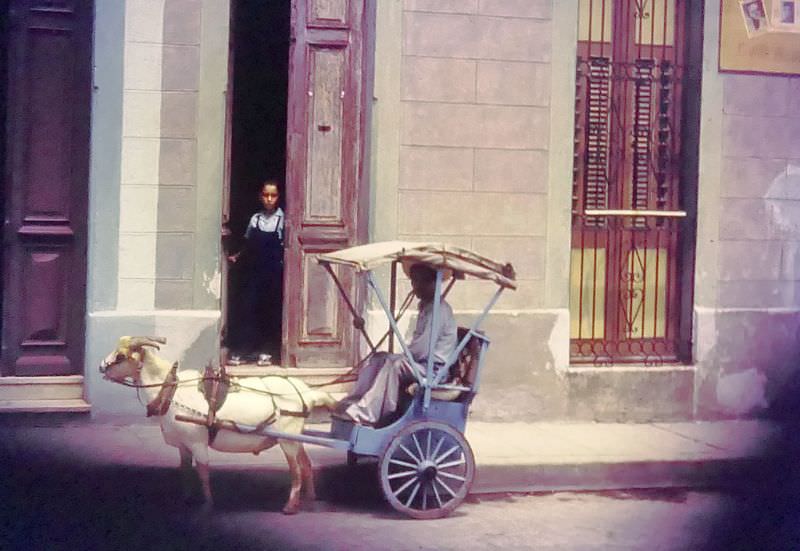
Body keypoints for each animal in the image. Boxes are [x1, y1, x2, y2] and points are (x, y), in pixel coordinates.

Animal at [101, 336, 338, 516]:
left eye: (121, 356)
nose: (101, 367)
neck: (172, 390)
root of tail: (307, 393)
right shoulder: (184, 446)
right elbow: (185, 470)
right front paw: (186, 499)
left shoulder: (197, 443)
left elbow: (203, 472)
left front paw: (207, 505)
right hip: (296, 438)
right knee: (306, 465)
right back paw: (310, 499)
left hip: (287, 438)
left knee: (296, 471)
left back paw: (290, 507)